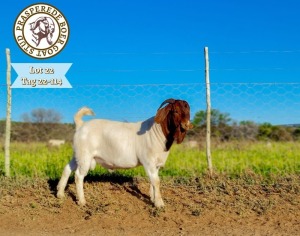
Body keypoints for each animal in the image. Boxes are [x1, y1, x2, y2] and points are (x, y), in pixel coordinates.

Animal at [56, 98, 192, 207]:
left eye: (188, 111)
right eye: (175, 111)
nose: (187, 125)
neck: (157, 131)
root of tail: (81, 125)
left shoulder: (156, 164)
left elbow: (153, 181)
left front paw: (153, 199)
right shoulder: (148, 161)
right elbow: (156, 181)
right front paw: (159, 204)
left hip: (77, 154)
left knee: (67, 168)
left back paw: (60, 194)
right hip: (85, 156)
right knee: (79, 176)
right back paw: (82, 201)